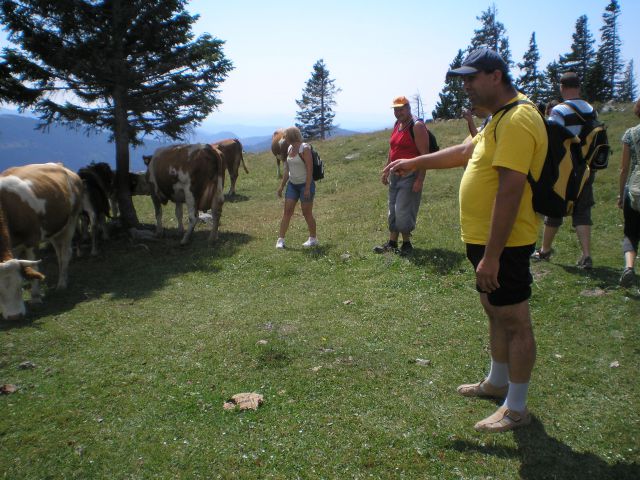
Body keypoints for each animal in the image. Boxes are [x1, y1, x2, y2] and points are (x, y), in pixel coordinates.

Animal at [0, 162, 84, 304]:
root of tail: (59, 164)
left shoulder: (32, 239)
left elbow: (34, 267)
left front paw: (35, 297)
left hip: (72, 220)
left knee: (66, 253)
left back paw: (61, 284)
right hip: (54, 229)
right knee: (59, 254)